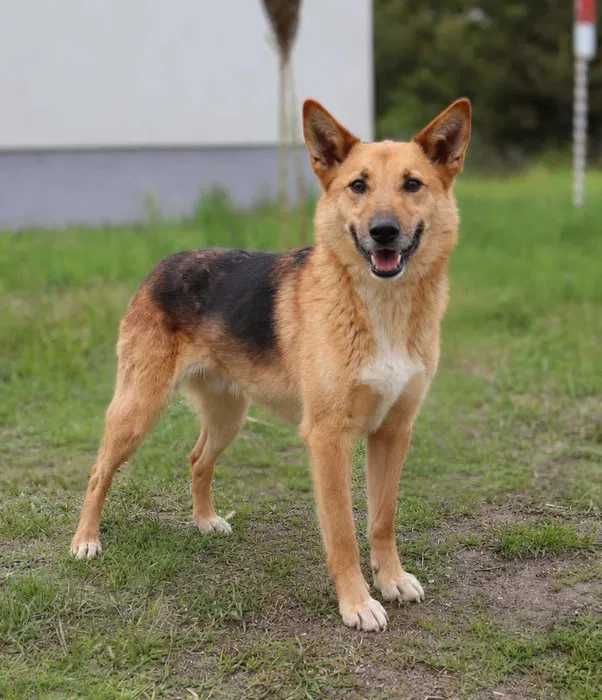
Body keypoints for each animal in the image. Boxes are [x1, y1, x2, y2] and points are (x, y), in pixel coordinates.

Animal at [71, 98, 471, 632]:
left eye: (412, 184)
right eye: (358, 186)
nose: (383, 232)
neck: (380, 307)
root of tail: (166, 262)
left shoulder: (394, 432)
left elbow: (382, 519)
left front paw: (391, 579)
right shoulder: (328, 439)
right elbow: (343, 532)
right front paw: (357, 602)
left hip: (228, 417)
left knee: (197, 460)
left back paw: (204, 521)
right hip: (139, 410)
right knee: (99, 472)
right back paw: (85, 540)